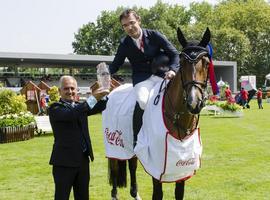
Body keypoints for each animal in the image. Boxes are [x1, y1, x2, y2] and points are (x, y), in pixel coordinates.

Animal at [101, 27, 213, 200]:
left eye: (206, 63)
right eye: (182, 62)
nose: (194, 102)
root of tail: (114, 89)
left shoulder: (181, 167)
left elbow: (179, 193)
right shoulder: (156, 163)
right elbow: (158, 194)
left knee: (132, 165)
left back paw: (135, 193)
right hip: (114, 145)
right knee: (115, 167)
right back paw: (114, 194)